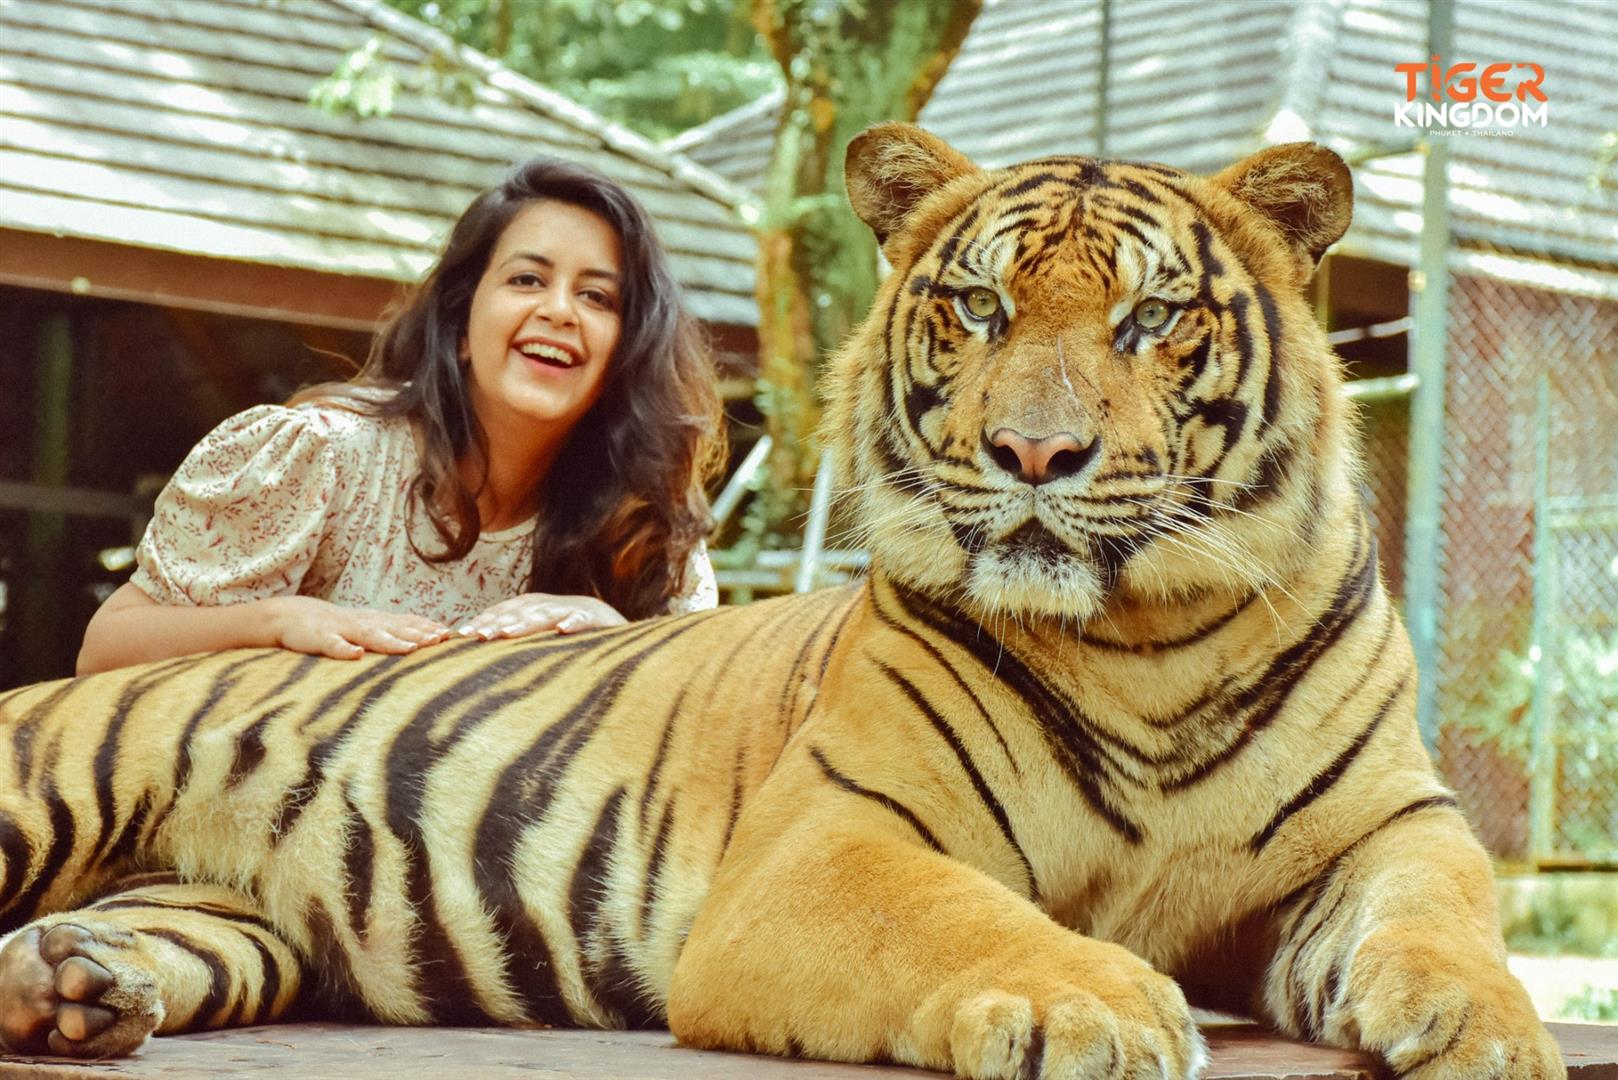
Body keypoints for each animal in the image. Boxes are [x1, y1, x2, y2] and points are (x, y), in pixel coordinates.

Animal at [0, 122, 1561, 1080]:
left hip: (230, 924)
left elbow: (1445, 908)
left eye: (1150, 318)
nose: (1035, 454)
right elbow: (967, 921)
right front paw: (1098, 1000)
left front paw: (1488, 1028)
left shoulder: (1381, 825)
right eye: (982, 308)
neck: (1147, 641)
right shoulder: (826, 844)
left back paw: (68, 988)